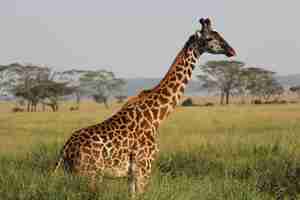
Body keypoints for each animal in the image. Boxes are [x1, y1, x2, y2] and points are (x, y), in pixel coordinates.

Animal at [54, 17, 237, 197]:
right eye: (210, 38)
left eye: (219, 34)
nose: (232, 51)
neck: (156, 116)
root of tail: (65, 150)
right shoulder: (144, 167)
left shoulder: (132, 173)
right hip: (89, 175)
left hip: (77, 175)